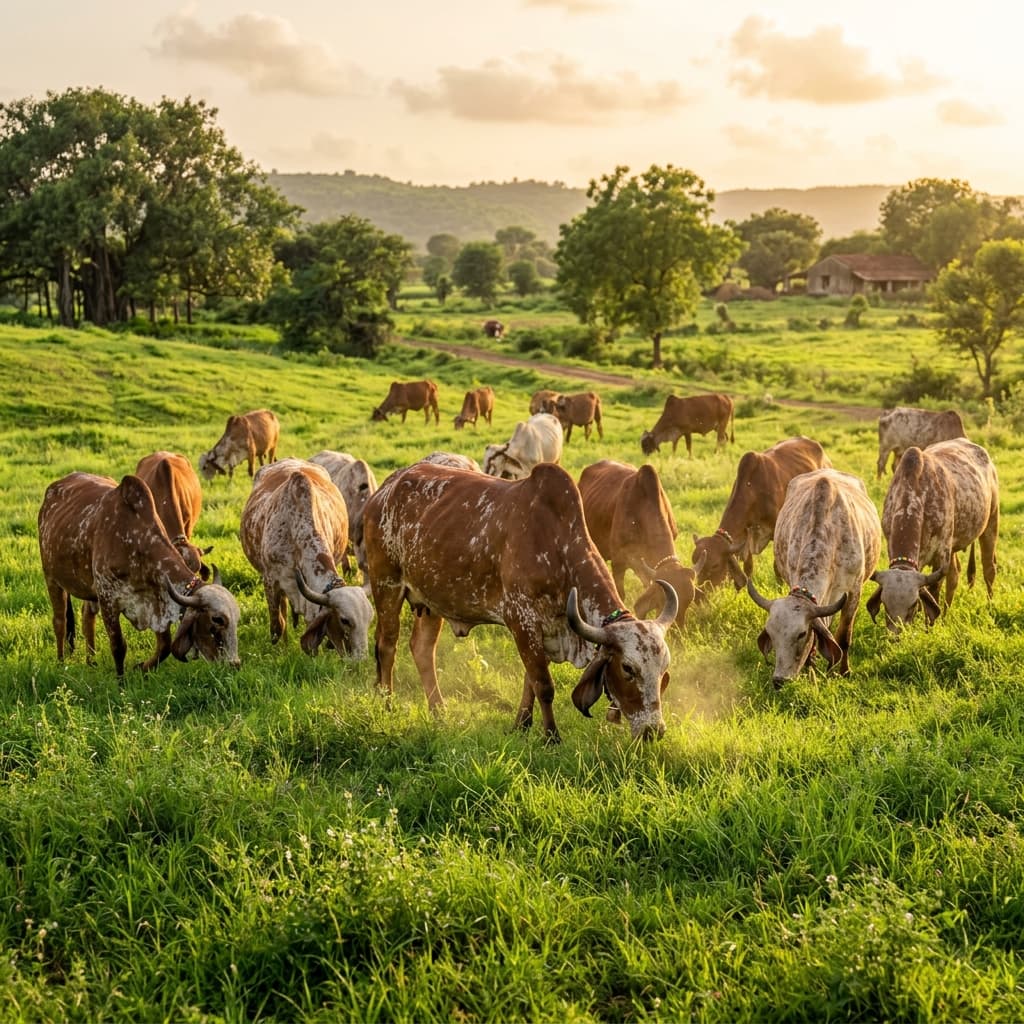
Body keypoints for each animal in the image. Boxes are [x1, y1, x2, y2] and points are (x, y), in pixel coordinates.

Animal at [38, 472, 241, 676]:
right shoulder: (108, 599)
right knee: (60, 622)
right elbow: (119, 647)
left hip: (89, 587)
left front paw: (141, 668)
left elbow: (164, 646)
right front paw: (121, 682)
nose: (235, 664)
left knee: (87, 616)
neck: (138, 544)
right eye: (217, 619)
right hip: (52, 578)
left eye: (236, 619)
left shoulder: (158, 599)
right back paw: (61, 662)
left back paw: (91, 661)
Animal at [362, 461, 679, 742]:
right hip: (386, 584)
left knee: (422, 649)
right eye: (628, 669)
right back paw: (387, 704)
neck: (556, 545)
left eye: (664, 669)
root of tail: (385, 490)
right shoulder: (521, 619)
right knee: (387, 646)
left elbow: (530, 681)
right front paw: (551, 737)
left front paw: (522, 725)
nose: (654, 730)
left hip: (430, 602)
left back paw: (439, 711)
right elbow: (543, 685)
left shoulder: (543, 630)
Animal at [691, 437, 832, 592]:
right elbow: (748, 568)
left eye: (715, 565)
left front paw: (779, 589)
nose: (700, 591)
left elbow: (776, 567)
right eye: (693, 560)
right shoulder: (747, 535)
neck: (753, 491)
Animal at [746, 468, 881, 687]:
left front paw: (843, 672)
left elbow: (844, 638)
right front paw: (812, 676)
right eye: (771, 633)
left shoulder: (853, 592)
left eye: (801, 633)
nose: (779, 680)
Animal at [867, 439, 999, 631]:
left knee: (989, 569)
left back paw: (989, 606)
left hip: (991, 522)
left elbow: (933, 593)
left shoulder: (940, 553)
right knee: (954, 574)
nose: (897, 634)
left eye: (912, 604)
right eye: (884, 604)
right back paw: (945, 615)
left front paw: (929, 629)